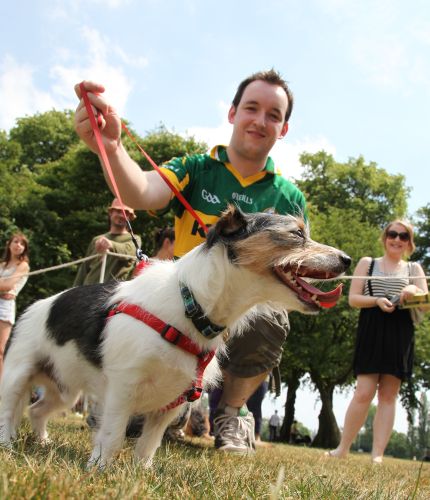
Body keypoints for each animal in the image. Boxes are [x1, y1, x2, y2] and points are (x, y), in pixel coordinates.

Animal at [0, 205, 350, 468]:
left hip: (65, 389)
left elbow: (148, 444)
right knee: (9, 410)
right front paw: (98, 470)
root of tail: (32, 309)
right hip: (18, 374)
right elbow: (112, 435)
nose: (347, 259)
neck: (190, 305)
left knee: (36, 410)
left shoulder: (173, 401)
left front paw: (141, 474)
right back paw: (8, 444)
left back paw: (42, 441)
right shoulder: (122, 389)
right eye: (296, 234)